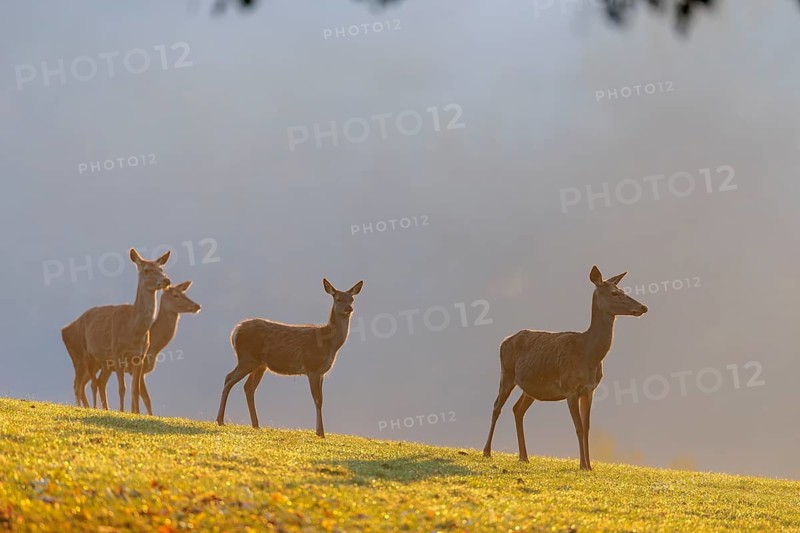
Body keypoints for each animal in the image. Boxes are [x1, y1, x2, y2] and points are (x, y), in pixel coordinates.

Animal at [61, 249, 171, 413]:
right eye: (147, 270)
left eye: (162, 269)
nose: (166, 280)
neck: (133, 329)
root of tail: (63, 330)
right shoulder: (117, 353)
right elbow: (122, 388)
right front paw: (122, 411)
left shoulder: (140, 356)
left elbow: (135, 389)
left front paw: (136, 413)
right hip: (84, 355)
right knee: (87, 384)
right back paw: (93, 407)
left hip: (101, 360)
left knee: (97, 383)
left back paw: (103, 408)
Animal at [90, 281, 201, 415]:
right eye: (175, 295)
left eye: (185, 293)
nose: (197, 306)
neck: (155, 347)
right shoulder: (138, 368)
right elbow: (146, 398)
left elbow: (138, 397)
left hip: (107, 366)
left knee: (101, 382)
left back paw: (106, 409)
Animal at [215, 278, 364, 437]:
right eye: (338, 298)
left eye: (352, 299)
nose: (349, 308)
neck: (329, 344)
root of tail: (235, 331)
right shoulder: (312, 367)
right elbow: (317, 399)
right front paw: (320, 432)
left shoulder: (322, 372)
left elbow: (322, 399)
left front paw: (320, 431)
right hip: (246, 358)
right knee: (229, 378)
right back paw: (220, 420)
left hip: (259, 364)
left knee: (248, 387)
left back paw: (256, 425)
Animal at [482, 266, 648, 471]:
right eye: (614, 293)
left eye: (623, 290)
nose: (643, 307)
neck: (589, 354)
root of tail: (504, 341)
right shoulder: (570, 388)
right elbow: (578, 427)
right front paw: (582, 464)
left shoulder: (589, 390)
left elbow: (587, 427)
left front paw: (590, 465)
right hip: (506, 373)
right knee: (497, 406)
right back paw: (487, 451)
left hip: (531, 387)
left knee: (517, 409)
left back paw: (524, 456)